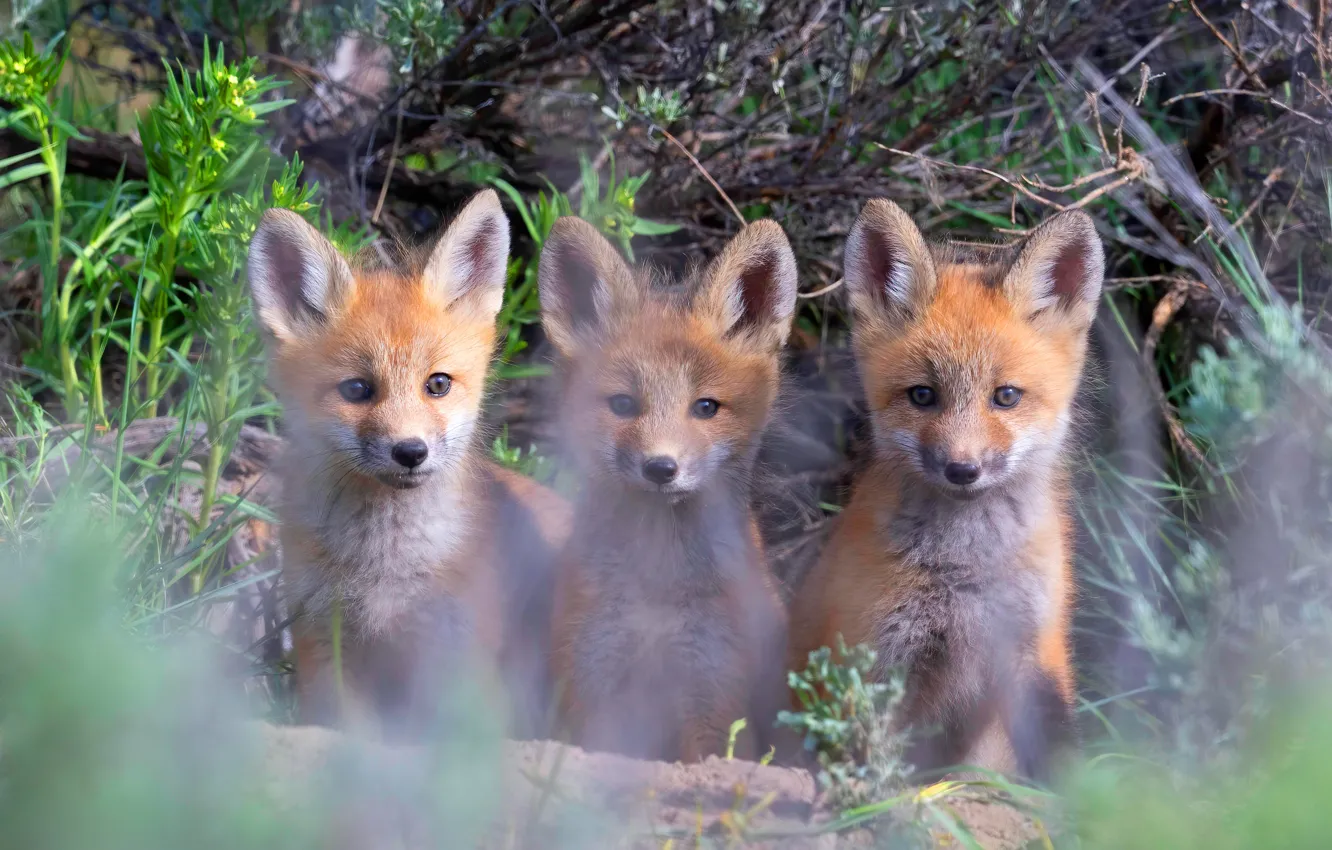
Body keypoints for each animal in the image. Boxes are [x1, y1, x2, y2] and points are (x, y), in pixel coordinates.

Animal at [247, 190, 569, 741]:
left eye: (437, 384)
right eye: (357, 389)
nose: (410, 451)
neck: (384, 571)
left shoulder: (456, 654)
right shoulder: (322, 638)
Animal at [538, 216, 797, 763]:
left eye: (706, 407)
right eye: (622, 404)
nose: (661, 467)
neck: (657, 590)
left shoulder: (713, 692)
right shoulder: (594, 681)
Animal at [788, 199, 1103, 782]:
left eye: (1006, 396)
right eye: (922, 396)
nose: (963, 469)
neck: (968, 577)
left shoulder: (1036, 646)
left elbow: (1059, 752)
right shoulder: (879, 656)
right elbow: (883, 768)